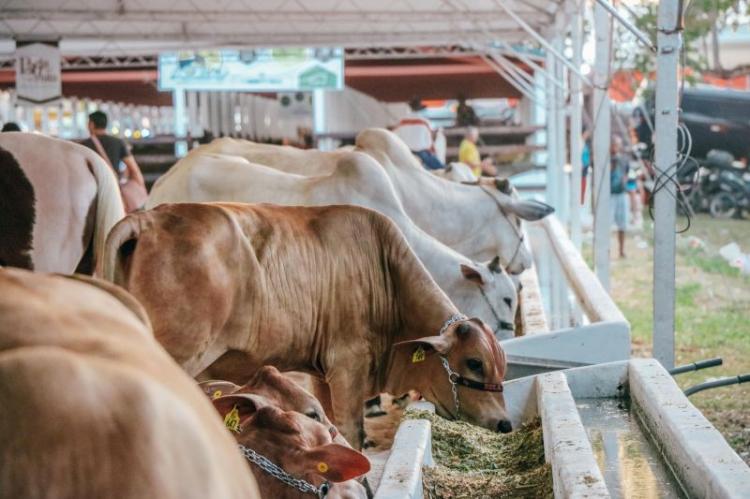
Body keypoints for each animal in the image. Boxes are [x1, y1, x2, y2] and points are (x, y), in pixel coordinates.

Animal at [106, 204, 516, 450]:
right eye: (474, 362)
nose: (505, 423)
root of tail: (148, 218)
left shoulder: (323, 372)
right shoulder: (349, 364)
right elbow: (351, 430)